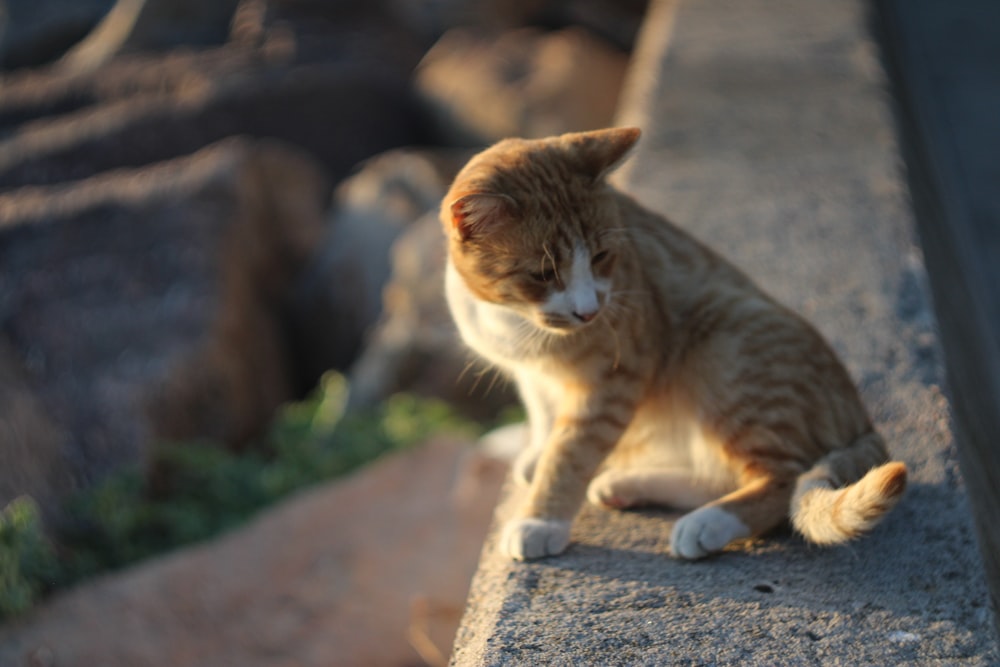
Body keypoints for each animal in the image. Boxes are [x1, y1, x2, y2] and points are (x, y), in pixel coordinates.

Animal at [442, 125, 912, 560]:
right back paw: (627, 484)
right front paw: (538, 454)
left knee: (784, 477)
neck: (518, 323)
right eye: (543, 274)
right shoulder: (531, 375)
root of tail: (864, 420)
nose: (589, 311)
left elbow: (571, 452)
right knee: (726, 473)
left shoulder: (613, 379)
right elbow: (544, 416)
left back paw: (708, 524)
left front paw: (542, 518)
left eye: (601, 257)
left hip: (726, 351)